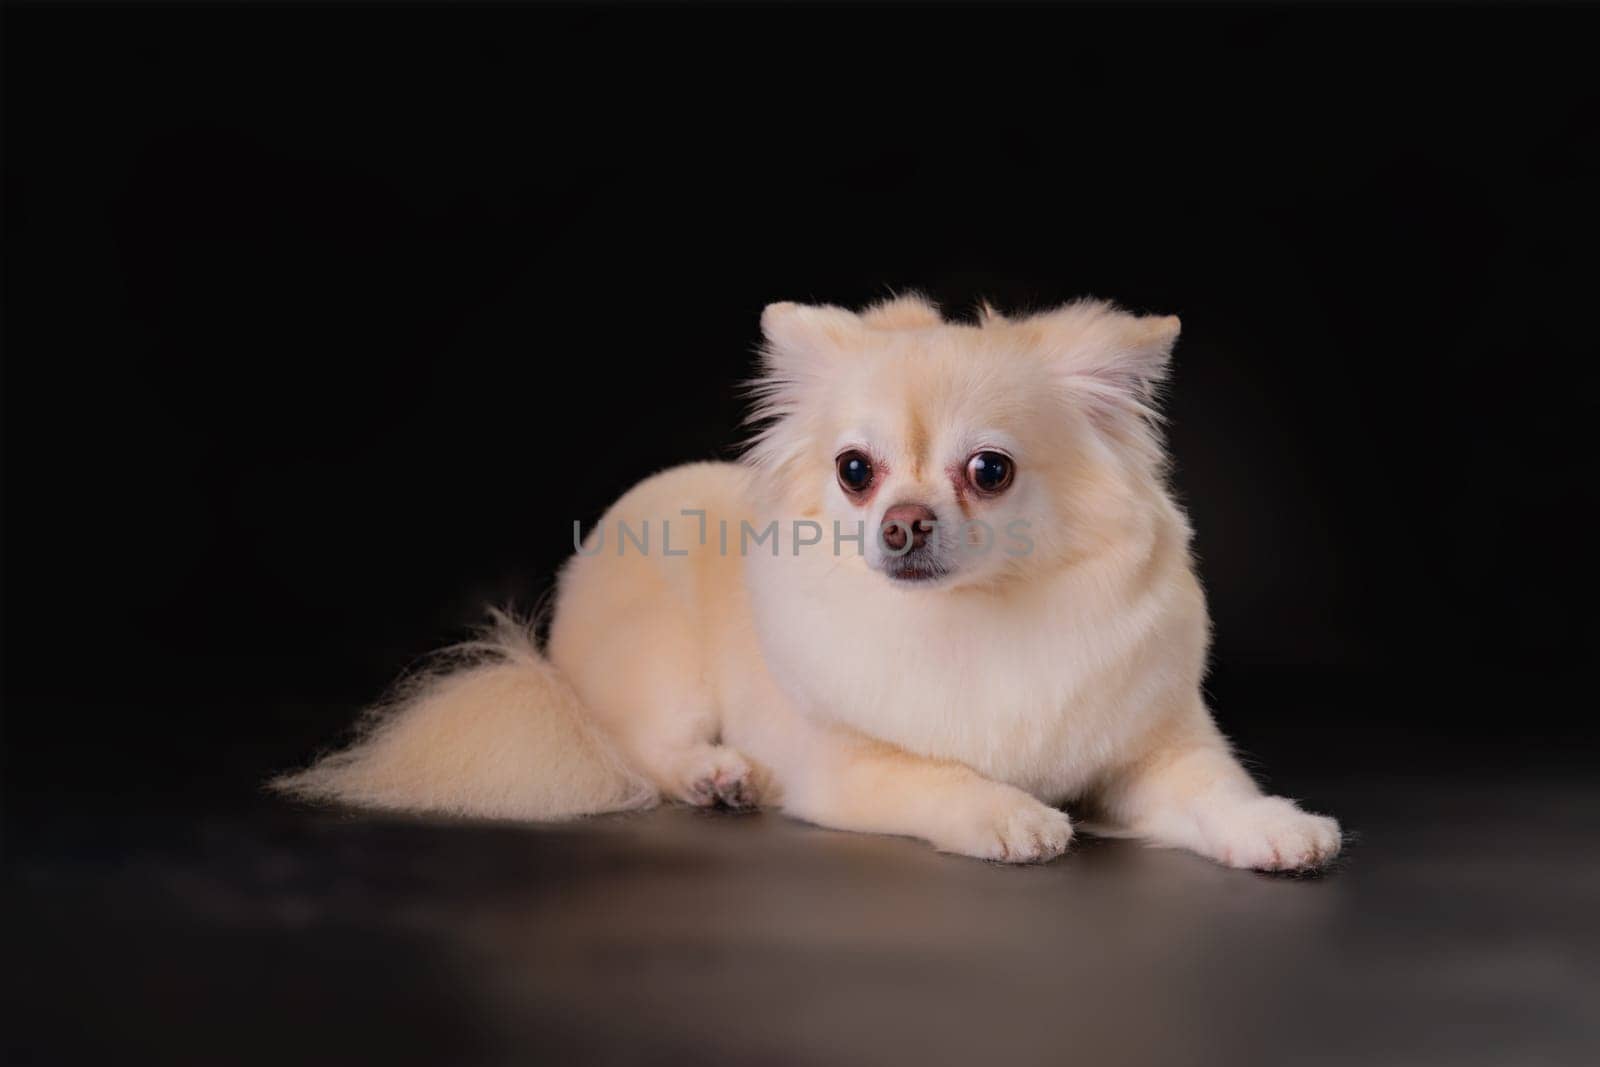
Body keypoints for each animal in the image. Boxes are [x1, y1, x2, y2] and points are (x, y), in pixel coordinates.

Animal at [275, 292, 1337, 870]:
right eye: (856, 470)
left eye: (989, 470)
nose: (903, 521)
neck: (978, 616)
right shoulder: (848, 767)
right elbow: (935, 774)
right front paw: (1011, 811)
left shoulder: (1151, 750)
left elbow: (1213, 787)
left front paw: (1273, 828)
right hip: (660, 671)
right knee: (635, 746)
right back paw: (716, 775)